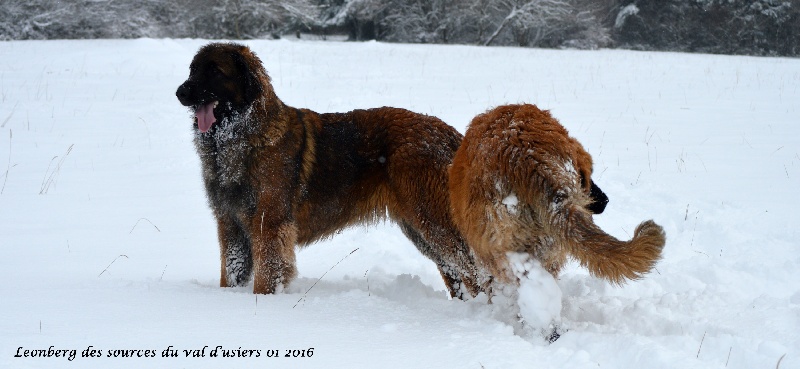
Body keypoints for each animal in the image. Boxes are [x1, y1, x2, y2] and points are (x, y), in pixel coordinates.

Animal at [177, 42, 488, 296]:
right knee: (456, 272)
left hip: (433, 220)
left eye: (215, 71)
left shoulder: (270, 223)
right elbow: (231, 271)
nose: (180, 92)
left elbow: (266, 275)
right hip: (419, 229)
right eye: (192, 70)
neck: (244, 136)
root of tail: (448, 132)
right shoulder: (229, 222)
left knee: (475, 270)